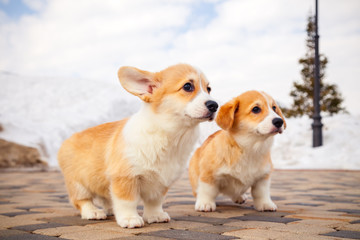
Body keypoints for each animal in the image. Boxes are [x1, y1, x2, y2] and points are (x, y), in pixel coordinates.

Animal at [57, 63, 218, 229]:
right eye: (187, 86)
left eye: (209, 89)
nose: (215, 105)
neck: (169, 135)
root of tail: (68, 140)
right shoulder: (125, 177)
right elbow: (127, 202)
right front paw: (129, 219)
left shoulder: (161, 182)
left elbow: (155, 202)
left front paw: (155, 216)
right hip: (78, 183)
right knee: (81, 200)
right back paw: (93, 212)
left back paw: (110, 209)